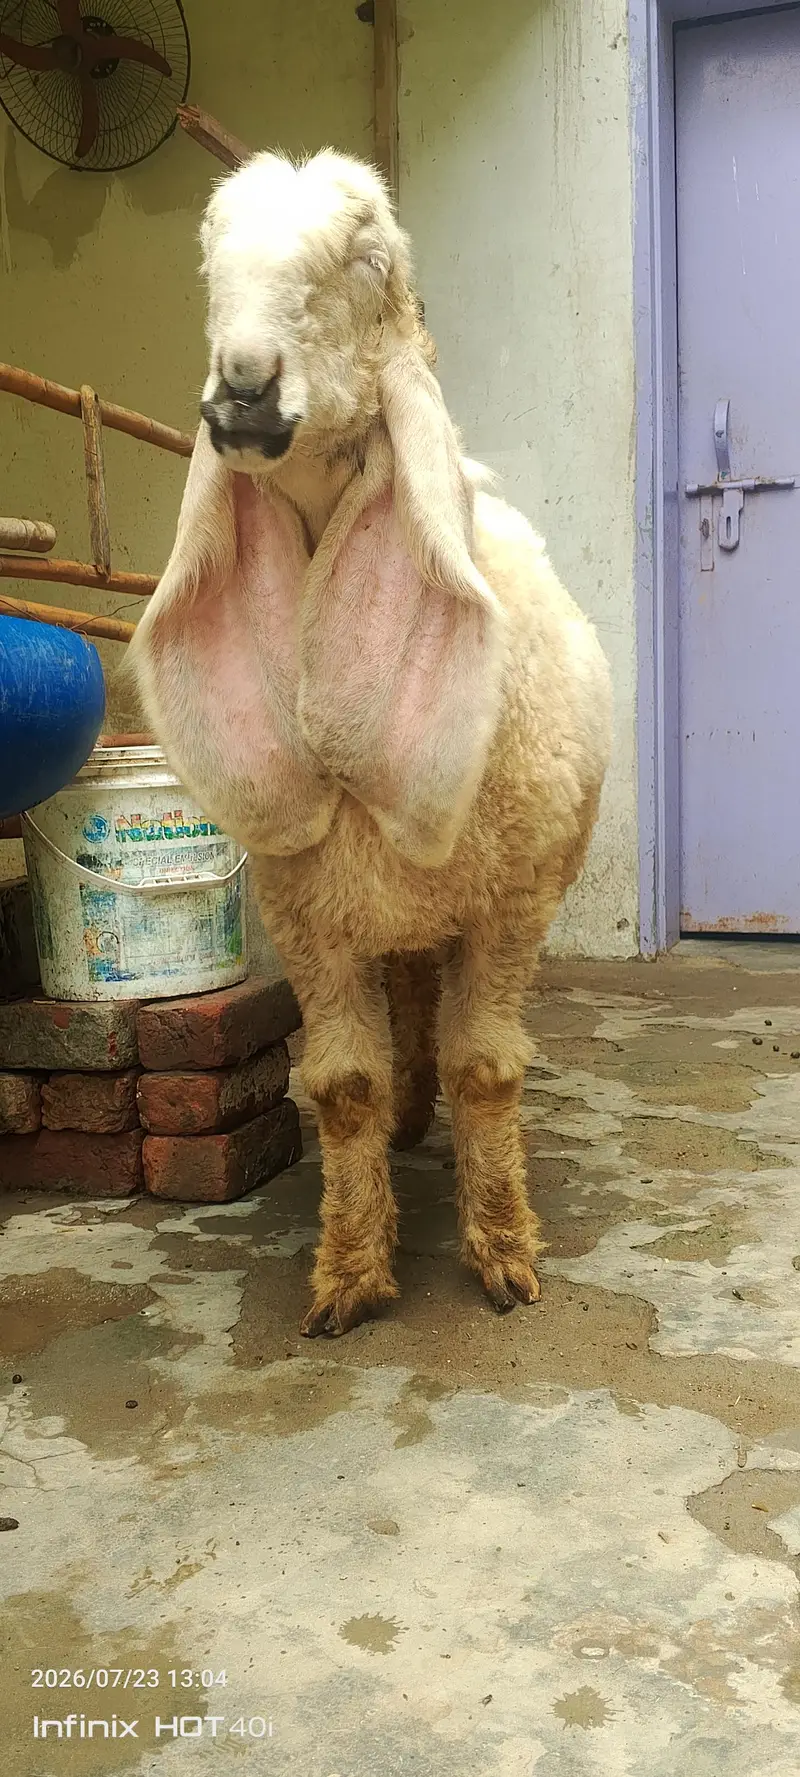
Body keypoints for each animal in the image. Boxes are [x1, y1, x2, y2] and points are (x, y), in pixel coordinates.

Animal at [130, 149, 613, 1337]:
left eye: (364, 264)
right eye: (208, 264)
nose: (240, 387)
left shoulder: (510, 902)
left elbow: (487, 1069)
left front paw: (503, 1254)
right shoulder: (309, 912)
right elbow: (343, 1086)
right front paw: (348, 1272)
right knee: (406, 1002)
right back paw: (405, 1113)